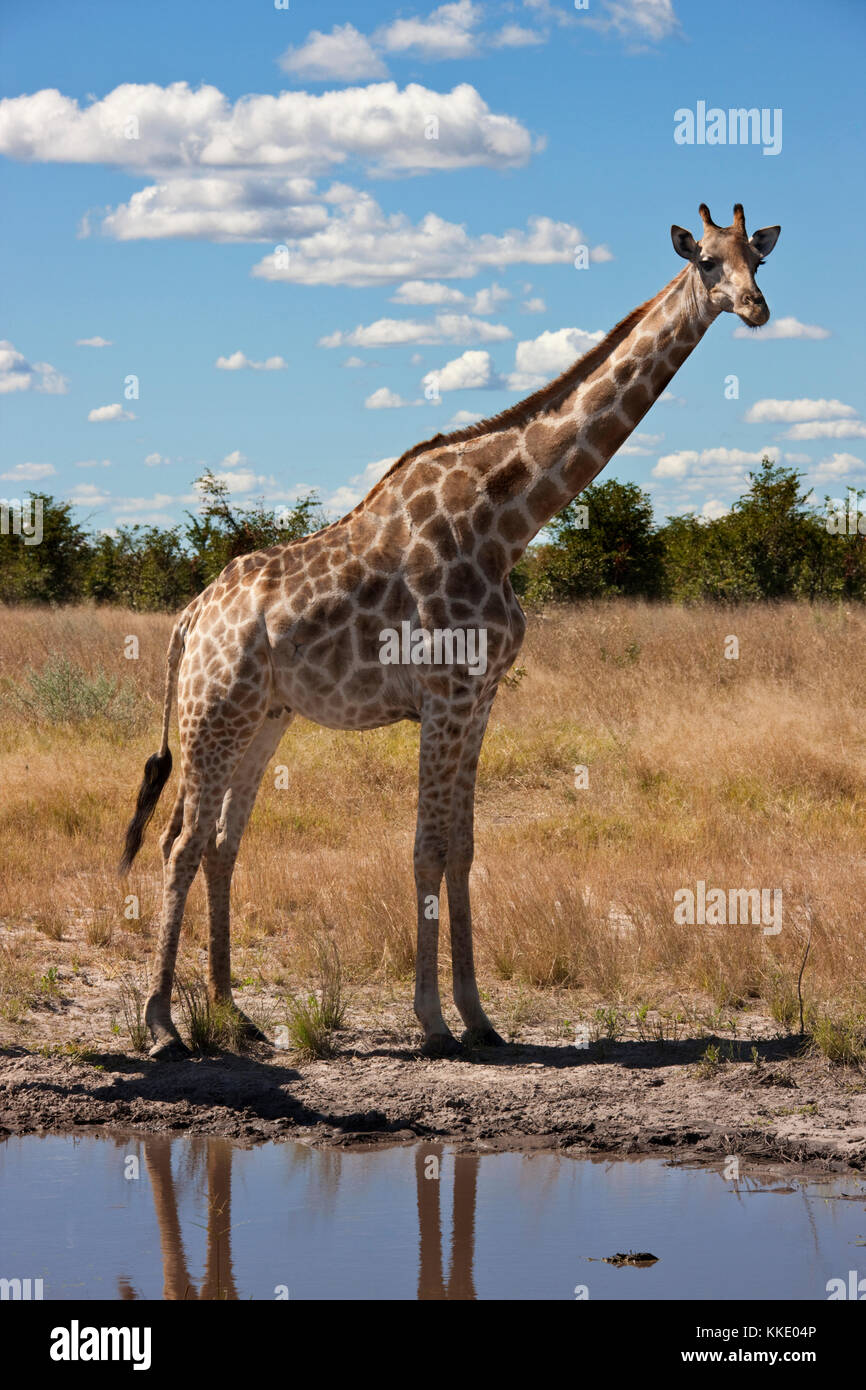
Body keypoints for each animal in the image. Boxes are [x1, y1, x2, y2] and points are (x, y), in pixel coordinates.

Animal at [120, 201, 778, 1056]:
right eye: (705, 261)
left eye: (757, 260)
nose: (756, 308)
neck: (511, 522)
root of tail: (190, 617)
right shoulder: (444, 696)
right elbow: (426, 850)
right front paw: (433, 1021)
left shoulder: (481, 696)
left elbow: (462, 849)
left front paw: (478, 1017)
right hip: (214, 713)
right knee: (179, 843)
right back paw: (163, 1025)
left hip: (263, 718)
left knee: (222, 843)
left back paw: (236, 1015)